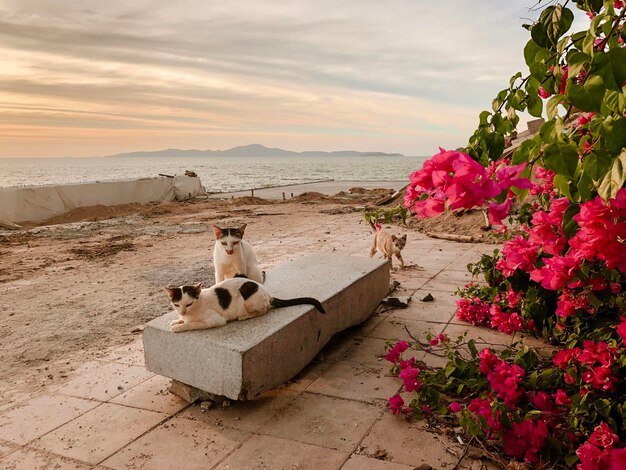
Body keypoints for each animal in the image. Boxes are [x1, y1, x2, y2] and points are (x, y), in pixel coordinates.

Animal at [163, 278, 324, 332]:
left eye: (189, 304)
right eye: (177, 305)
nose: (182, 312)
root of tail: (267, 293)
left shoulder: (216, 320)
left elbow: (192, 324)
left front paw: (179, 327)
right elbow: (184, 321)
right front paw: (177, 321)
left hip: (247, 297)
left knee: (264, 310)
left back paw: (244, 316)